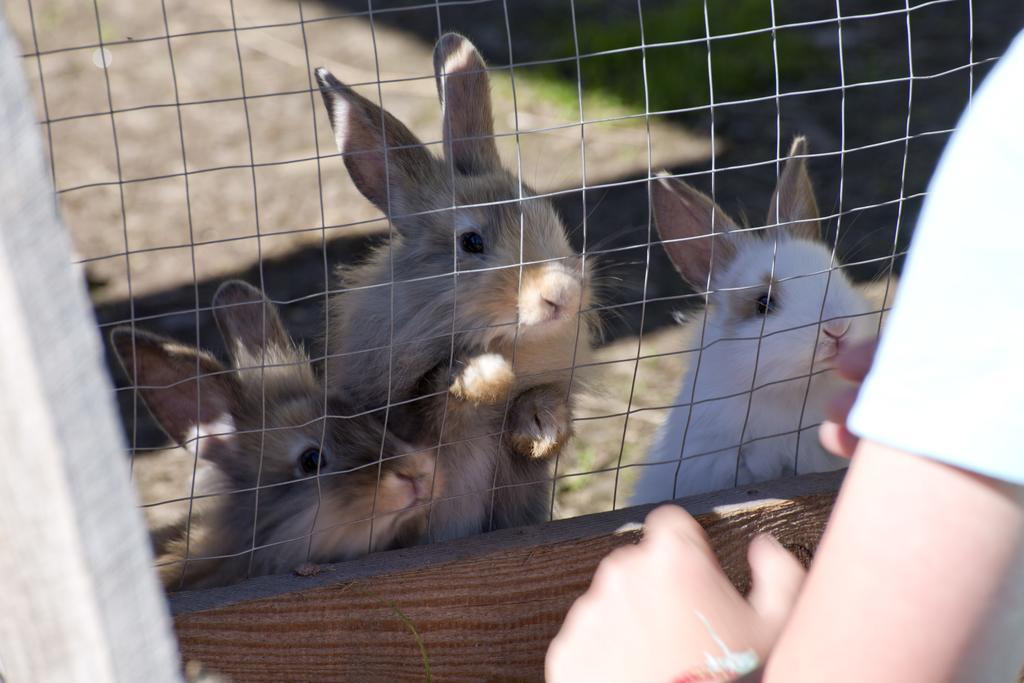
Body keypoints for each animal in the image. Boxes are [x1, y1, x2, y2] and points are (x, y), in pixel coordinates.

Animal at [315, 34, 598, 540]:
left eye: (545, 211)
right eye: (471, 242)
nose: (562, 295)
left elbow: (539, 406)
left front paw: (540, 429)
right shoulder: (399, 414)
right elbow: (436, 399)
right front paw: (485, 377)